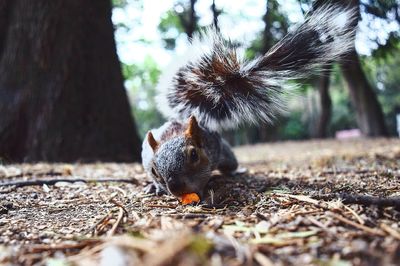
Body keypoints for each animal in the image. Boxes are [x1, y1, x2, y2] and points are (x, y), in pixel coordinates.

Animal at [141, 4, 356, 200]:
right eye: (153, 170)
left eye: (194, 155)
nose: (175, 187)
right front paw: (155, 186)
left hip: (226, 155)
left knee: (231, 165)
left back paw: (236, 172)